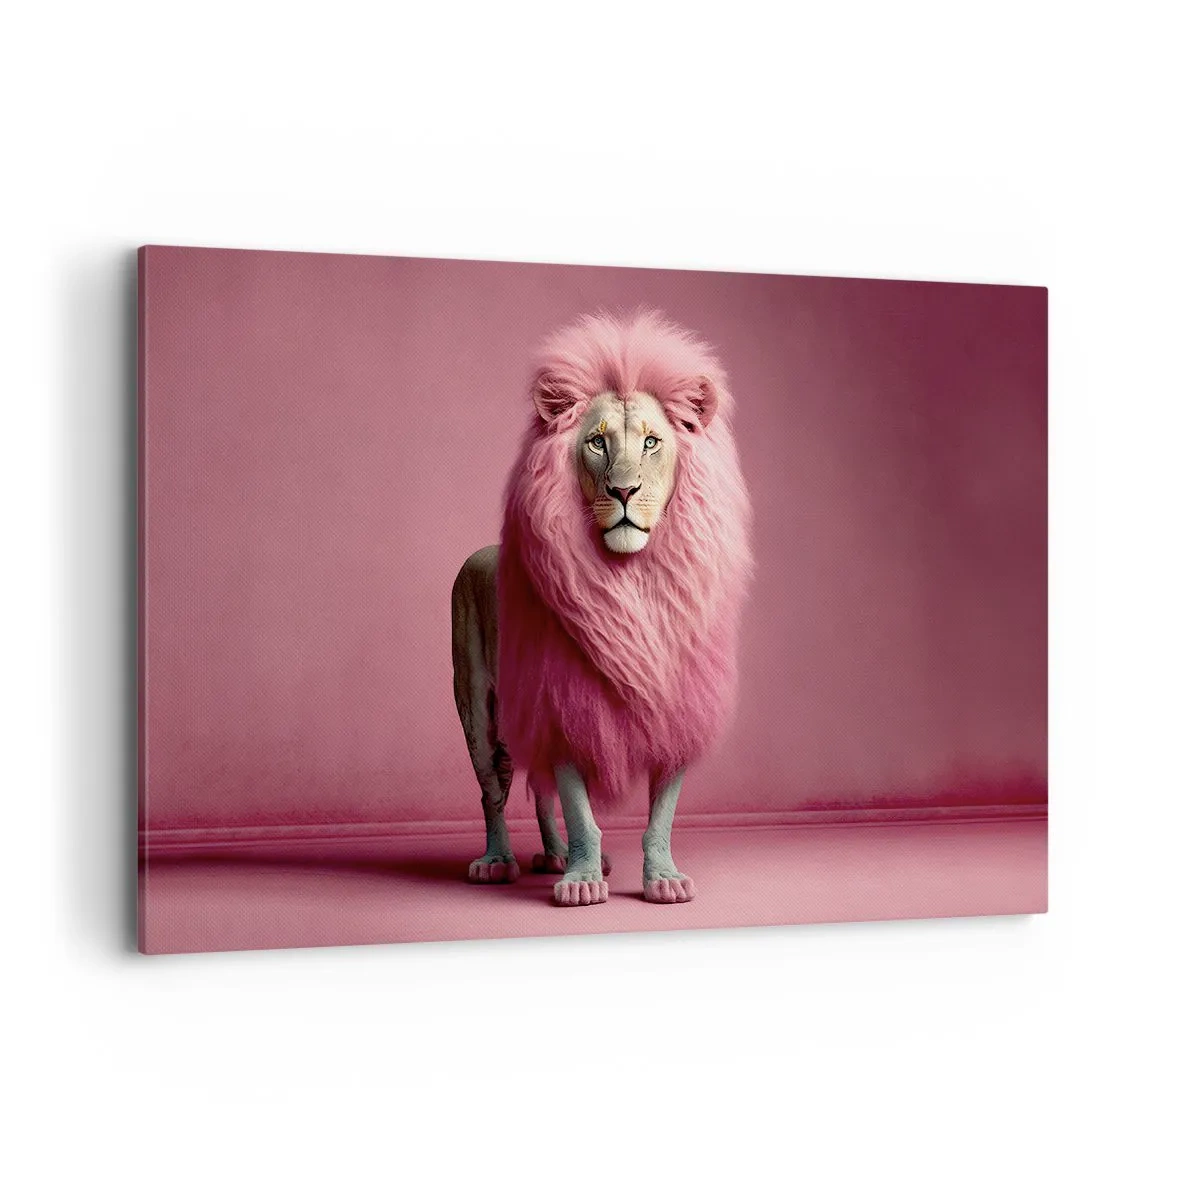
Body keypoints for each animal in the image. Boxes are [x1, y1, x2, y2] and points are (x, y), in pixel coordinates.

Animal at [451, 310, 751, 906]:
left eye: (653, 441)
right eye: (596, 443)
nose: (624, 491)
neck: (634, 581)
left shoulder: (676, 709)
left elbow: (660, 816)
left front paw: (663, 879)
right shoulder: (563, 702)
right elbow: (580, 810)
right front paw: (583, 882)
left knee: (538, 790)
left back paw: (553, 855)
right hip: (478, 711)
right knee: (493, 791)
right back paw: (499, 861)